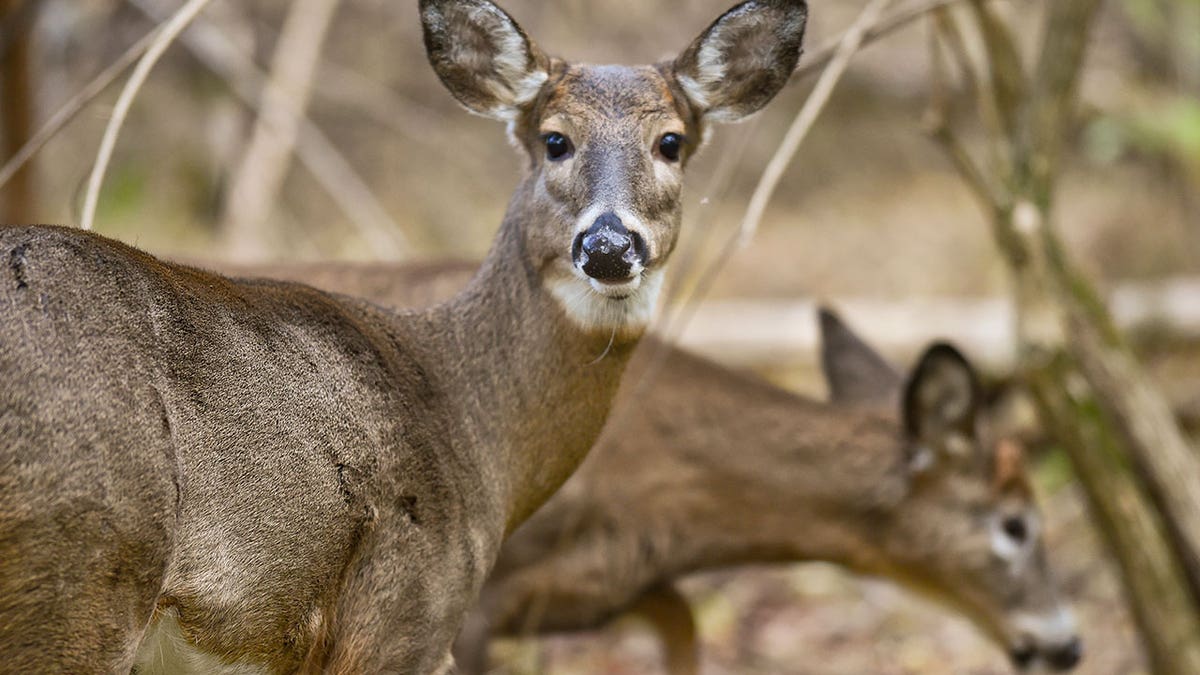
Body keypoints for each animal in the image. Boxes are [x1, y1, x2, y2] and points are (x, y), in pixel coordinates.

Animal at [0, 0, 811, 667]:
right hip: (80, 574)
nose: (609, 246)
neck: (468, 419)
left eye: (671, 142)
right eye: (555, 140)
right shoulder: (402, 617)